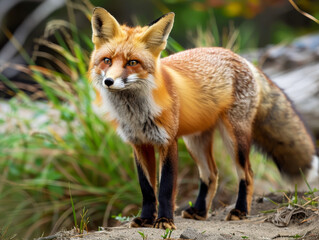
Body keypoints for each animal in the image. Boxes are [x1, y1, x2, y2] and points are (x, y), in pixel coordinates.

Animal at [88, 7, 319, 229]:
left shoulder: (167, 142)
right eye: (107, 61)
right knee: (211, 174)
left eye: (132, 62)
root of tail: (242, 59)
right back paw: (199, 211)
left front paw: (164, 221)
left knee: (247, 173)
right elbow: (147, 189)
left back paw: (240, 211)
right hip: (195, 141)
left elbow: (165, 189)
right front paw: (145, 219)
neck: (136, 113)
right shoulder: (139, 144)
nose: (109, 81)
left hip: (234, 139)